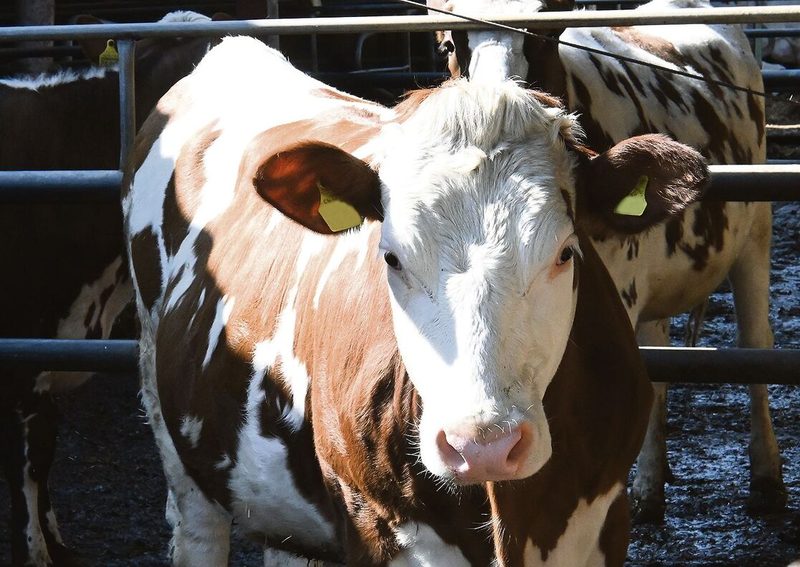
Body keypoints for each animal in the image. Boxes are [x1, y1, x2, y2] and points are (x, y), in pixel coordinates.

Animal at [123, 36, 712, 564]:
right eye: (391, 257)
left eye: (567, 252)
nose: (483, 446)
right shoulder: (373, 524)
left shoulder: (605, 521)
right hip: (171, 430)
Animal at [429, 0, 784, 522]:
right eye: (450, 45)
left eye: (546, 36)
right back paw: (652, 485)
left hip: (755, 236)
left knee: (755, 343)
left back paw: (766, 480)